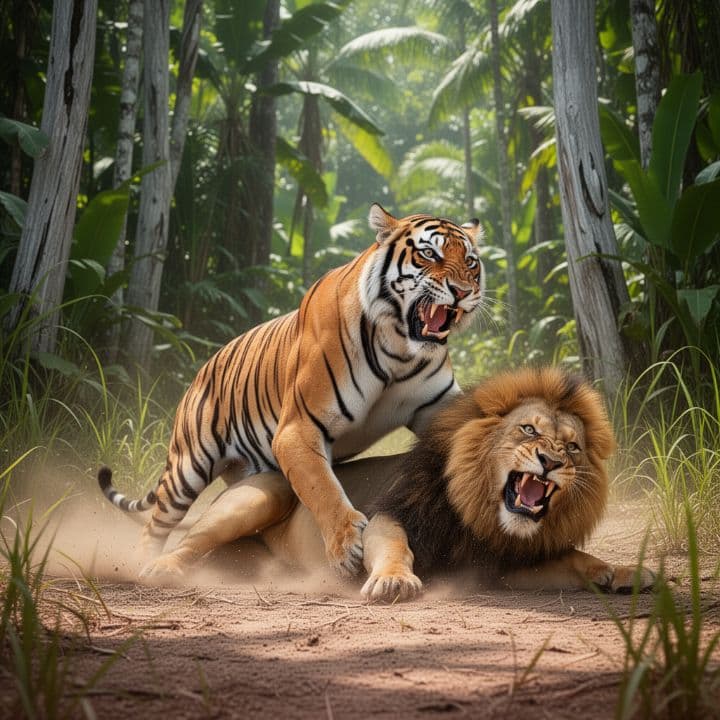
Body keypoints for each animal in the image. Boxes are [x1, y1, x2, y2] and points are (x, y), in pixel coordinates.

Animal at [98, 204, 485, 578]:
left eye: (470, 262)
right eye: (429, 253)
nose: (463, 292)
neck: (399, 349)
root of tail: (202, 368)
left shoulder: (437, 409)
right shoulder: (297, 429)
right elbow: (322, 488)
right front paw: (347, 548)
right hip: (187, 467)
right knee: (156, 525)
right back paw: (140, 563)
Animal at [137, 367, 655, 600]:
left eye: (573, 448)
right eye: (528, 430)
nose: (550, 461)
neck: (479, 514)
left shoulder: (502, 564)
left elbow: (577, 560)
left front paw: (623, 571)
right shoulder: (392, 512)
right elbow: (392, 546)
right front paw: (393, 580)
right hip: (262, 495)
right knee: (186, 541)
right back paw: (157, 568)